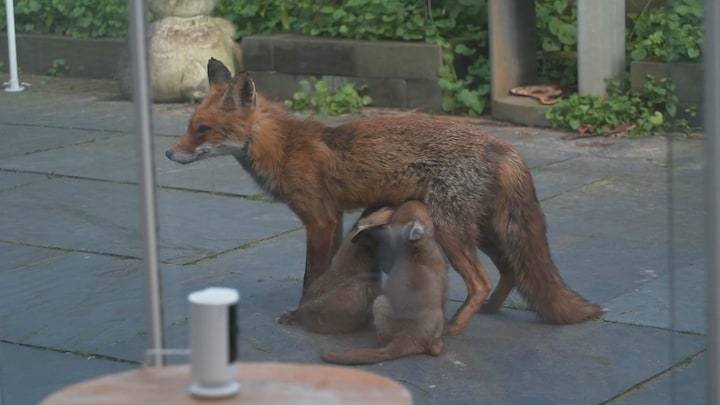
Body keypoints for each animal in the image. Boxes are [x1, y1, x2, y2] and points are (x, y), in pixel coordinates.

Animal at [165, 57, 600, 334]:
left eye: (202, 129)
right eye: (189, 126)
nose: (169, 154)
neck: (284, 148)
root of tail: (504, 145)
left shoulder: (320, 220)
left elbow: (311, 277)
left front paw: (301, 315)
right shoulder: (337, 218)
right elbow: (326, 273)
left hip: (451, 230)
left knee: (481, 280)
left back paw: (455, 328)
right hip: (484, 231)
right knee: (511, 271)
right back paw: (490, 312)